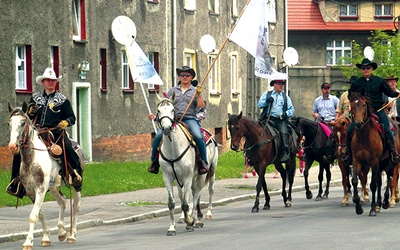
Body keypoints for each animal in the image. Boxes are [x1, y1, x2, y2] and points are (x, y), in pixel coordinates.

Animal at [8, 102, 82, 250]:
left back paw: (71, 236)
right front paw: (46, 238)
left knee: (75, 206)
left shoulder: (41, 189)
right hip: (53, 188)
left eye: (23, 123)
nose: (13, 146)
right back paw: (61, 232)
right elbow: (40, 214)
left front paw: (28, 242)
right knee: (62, 201)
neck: (32, 159)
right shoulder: (31, 191)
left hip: (76, 185)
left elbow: (33, 215)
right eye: (9, 123)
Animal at [156, 94, 219, 235]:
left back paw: (202, 217)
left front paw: (189, 221)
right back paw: (195, 218)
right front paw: (172, 227)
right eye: (159, 110)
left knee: (204, 192)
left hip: (207, 172)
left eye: (172, 110)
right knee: (193, 193)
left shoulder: (187, 176)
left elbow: (185, 203)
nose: (167, 128)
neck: (173, 148)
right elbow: (172, 203)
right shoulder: (168, 177)